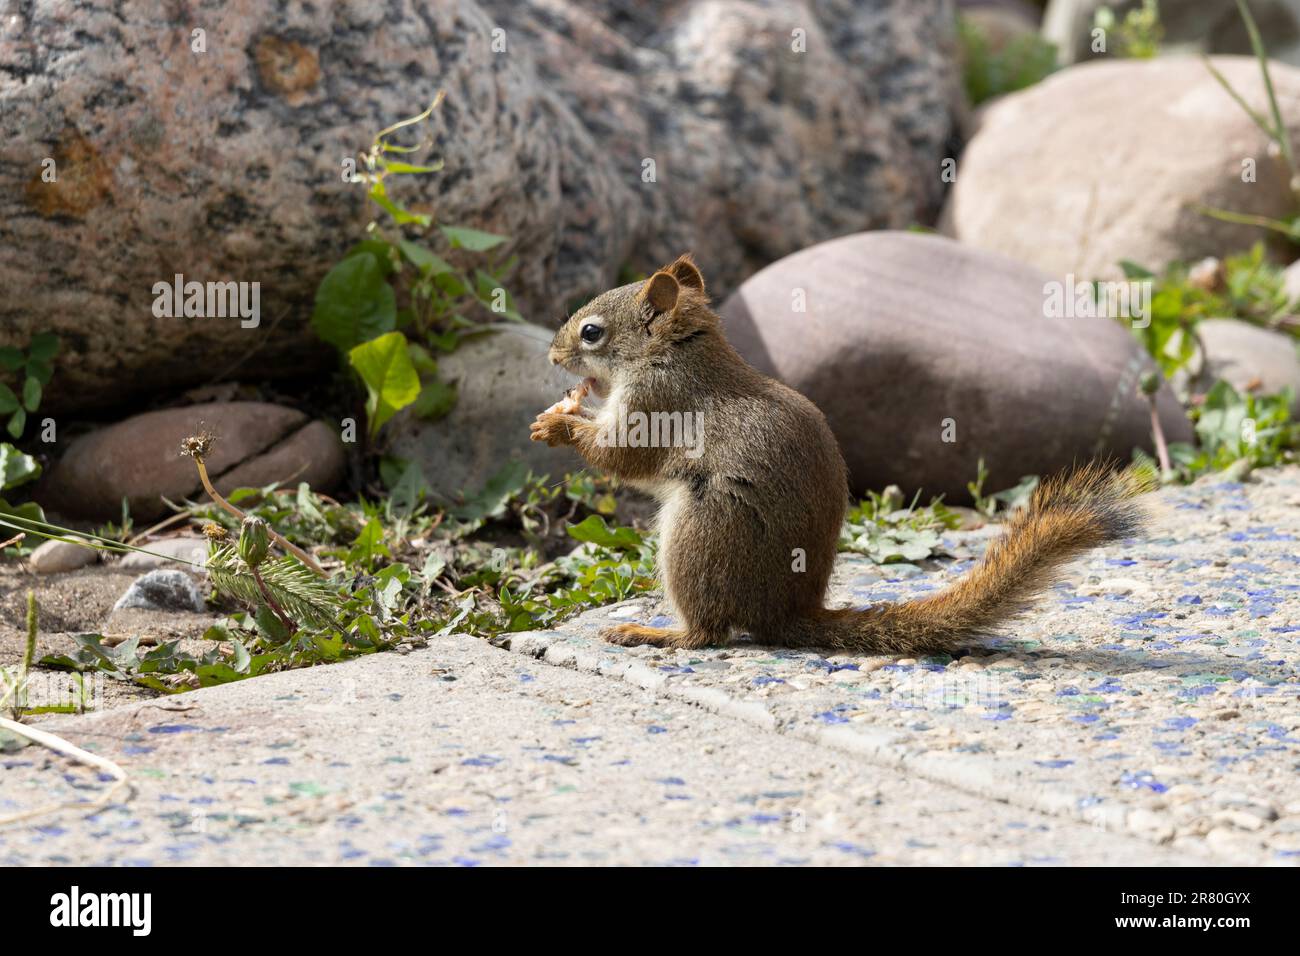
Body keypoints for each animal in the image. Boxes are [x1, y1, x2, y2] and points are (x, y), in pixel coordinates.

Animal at [527, 254, 1149, 655]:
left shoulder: (658, 403)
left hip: (701, 533)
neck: (677, 354)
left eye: (591, 332)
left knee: (709, 633)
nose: (553, 356)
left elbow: (623, 457)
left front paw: (558, 426)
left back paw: (654, 634)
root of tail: (785, 613)